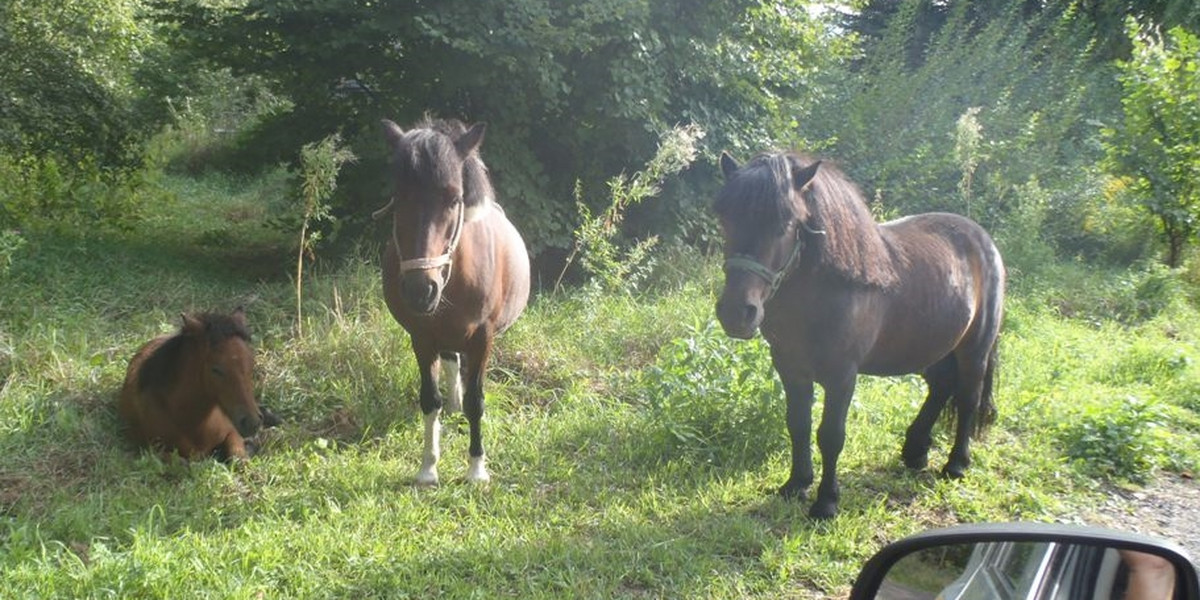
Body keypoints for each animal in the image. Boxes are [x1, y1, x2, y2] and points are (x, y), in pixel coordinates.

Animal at [118, 309, 264, 458]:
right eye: (215, 369)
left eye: (251, 362)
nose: (252, 423)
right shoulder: (154, 449)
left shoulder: (232, 432)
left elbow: (238, 457)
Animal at [372, 117, 528, 487]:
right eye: (398, 198)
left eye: (455, 198)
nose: (420, 289)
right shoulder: (421, 337)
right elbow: (430, 400)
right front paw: (428, 467)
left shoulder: (483, 339)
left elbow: (476, 401)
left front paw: (476, 469)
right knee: (451, 360)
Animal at [710, 151, 1003, 520]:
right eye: (725, 218)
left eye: (786, 223)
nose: (737, 313)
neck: (826, 290)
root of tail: (983, 240)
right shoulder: (790, 368)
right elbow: (798, 424)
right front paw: (796, 484)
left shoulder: (842, 376)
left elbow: (831, 435)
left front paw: (826, 502)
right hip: (931, 346)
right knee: (940, 386)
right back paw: (915, 449)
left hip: (974, 349)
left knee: (967, 398)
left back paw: (956, 465)